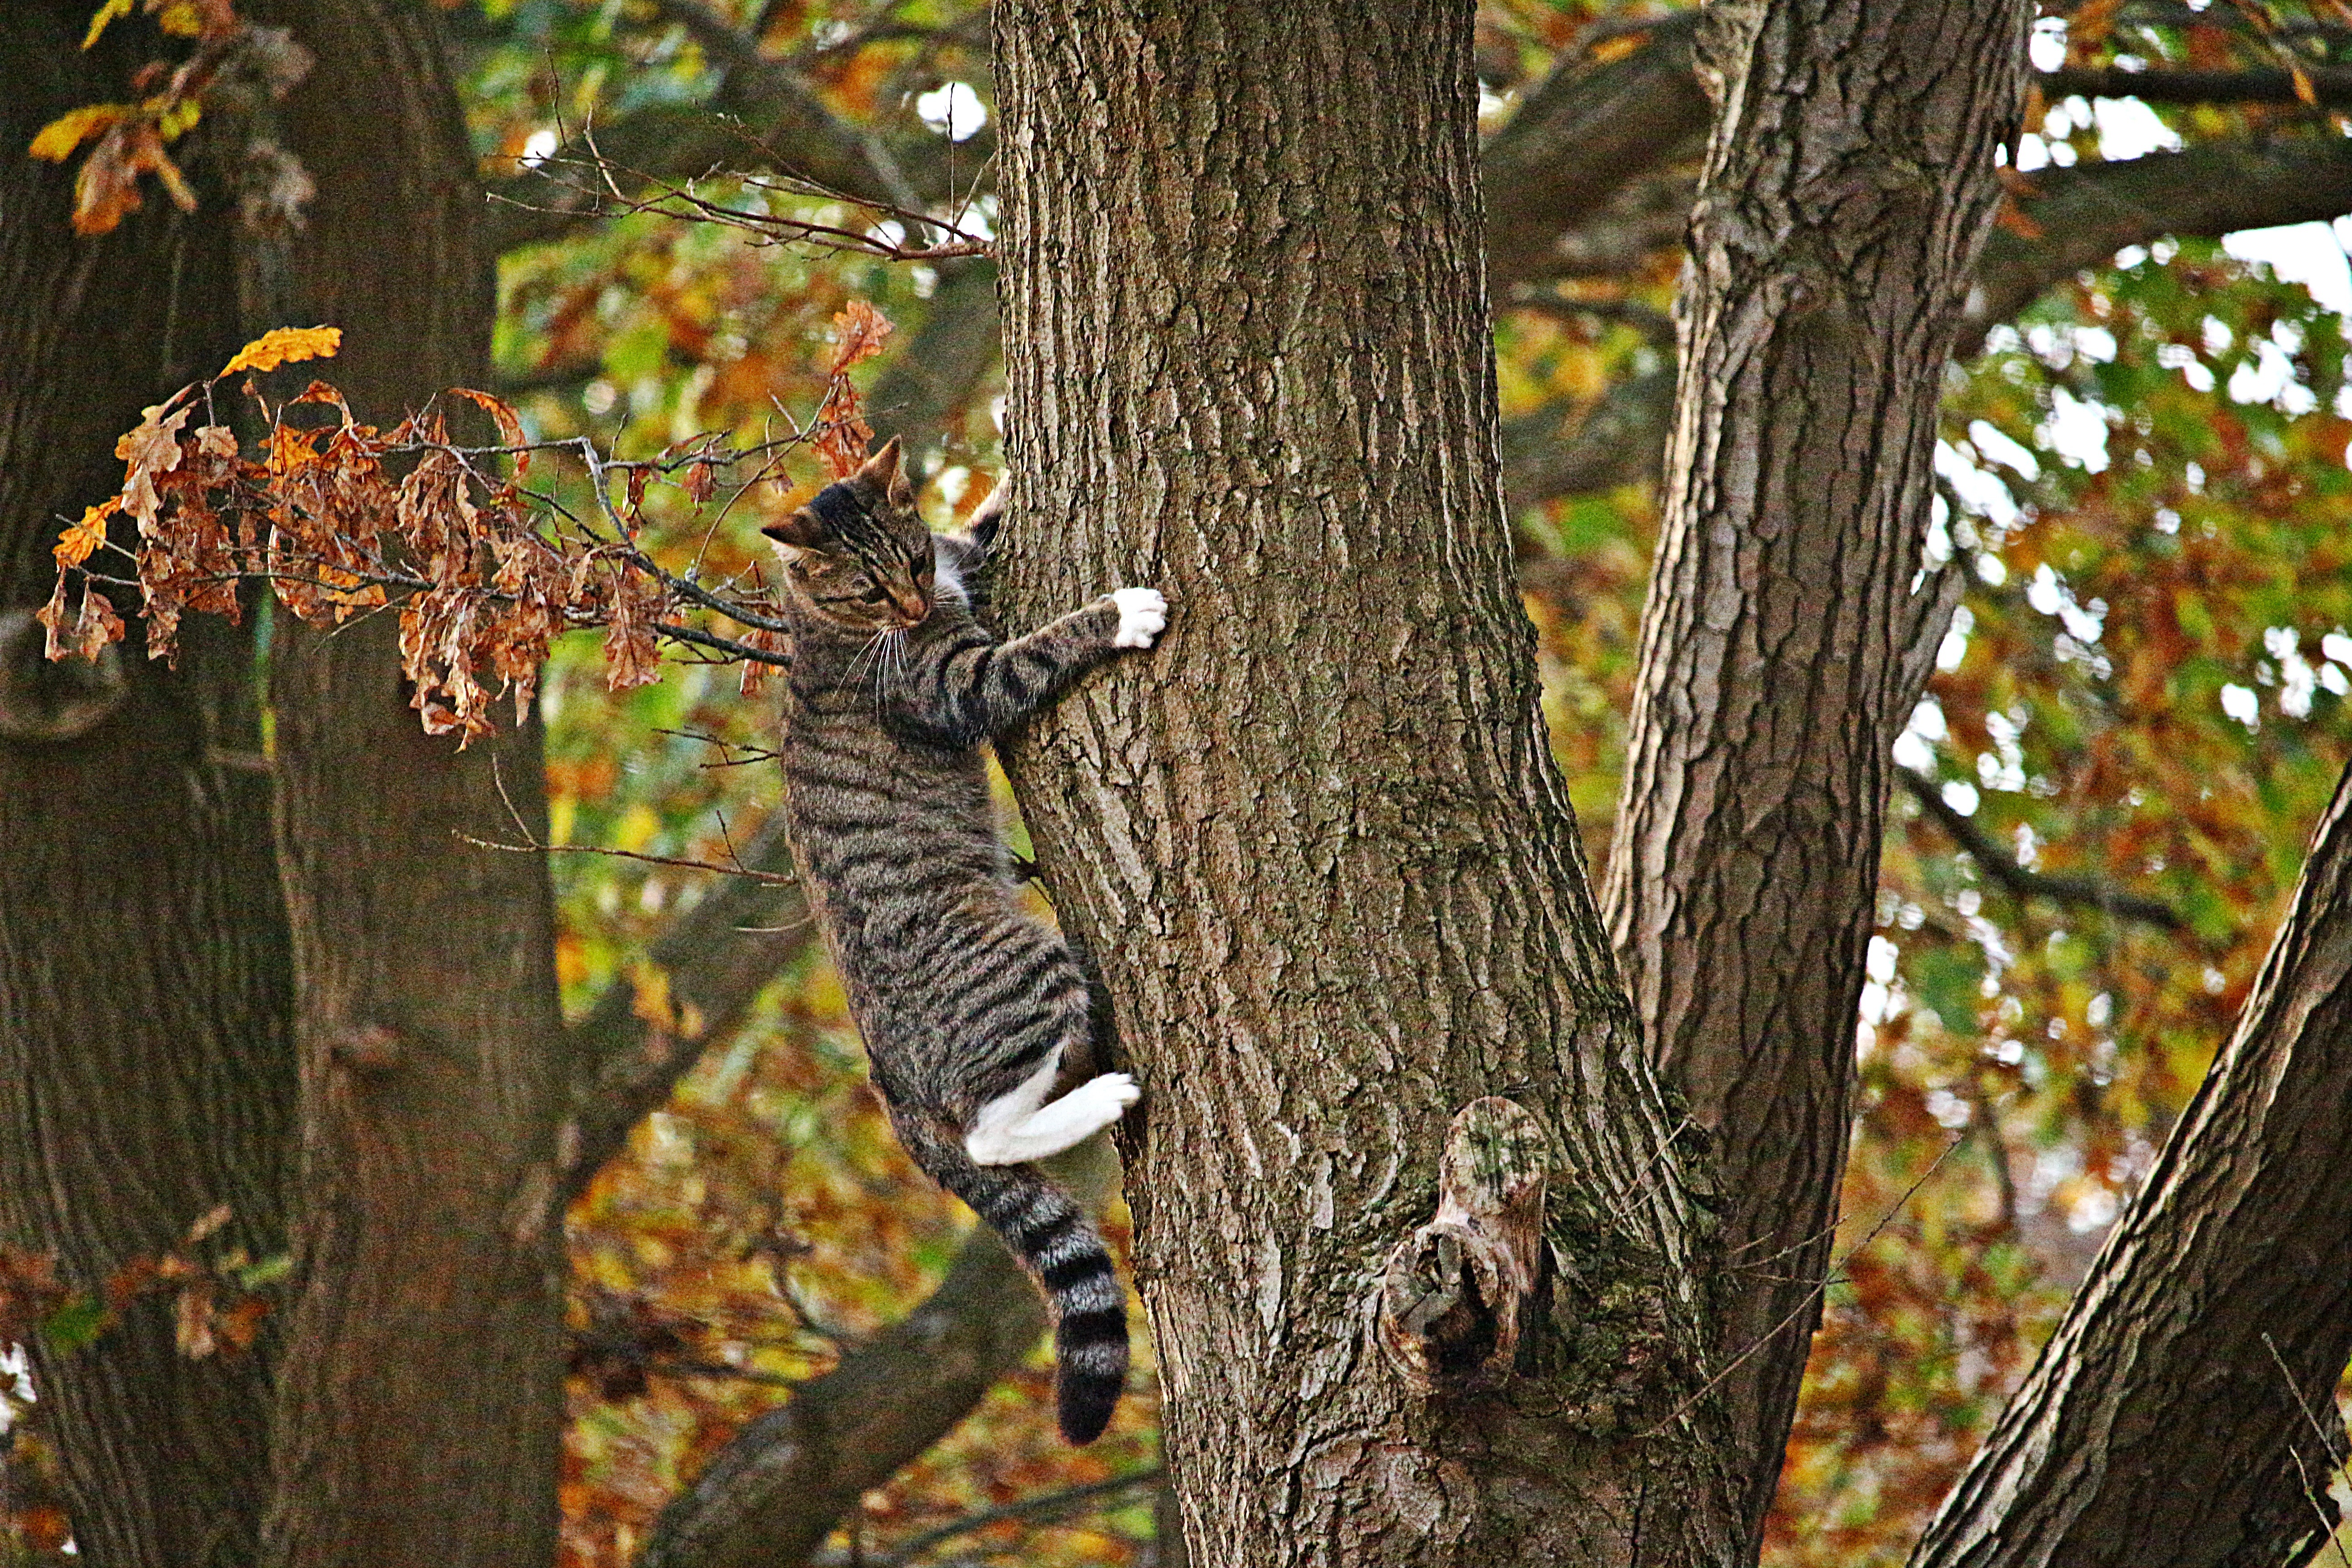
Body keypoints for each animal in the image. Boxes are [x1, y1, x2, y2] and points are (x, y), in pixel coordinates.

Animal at [762, 435, 1166, 1439]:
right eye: (866, 594)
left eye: (909, 564)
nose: (912, 607)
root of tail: (891, 1088)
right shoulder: (955, 682)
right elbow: (1029, 651)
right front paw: (1118, 613)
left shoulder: (953, 561)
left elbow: (981, 525)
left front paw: (1001, 478)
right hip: (1024, 962)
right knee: (986, 1137)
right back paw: (1094, 1101)